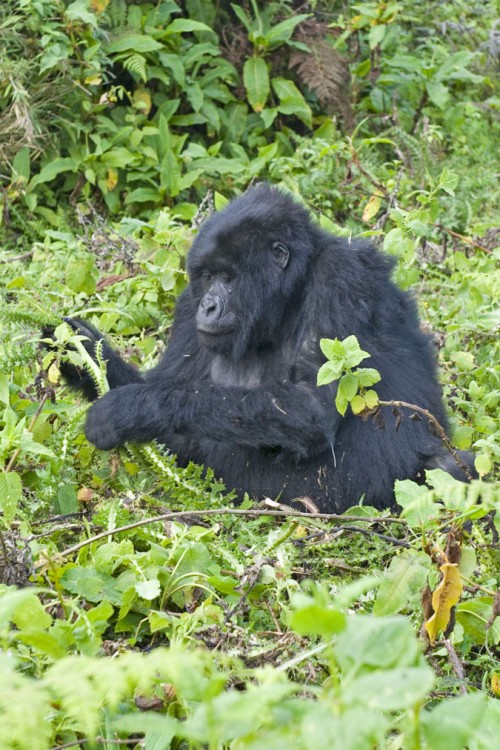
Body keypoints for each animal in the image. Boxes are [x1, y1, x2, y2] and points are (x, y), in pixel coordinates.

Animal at [60, 185, 470, 516]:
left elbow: (311, 408)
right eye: (207, 276)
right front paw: (77, 349)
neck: (288, 295)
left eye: (228, 278)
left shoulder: (342, 275)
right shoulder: (187, 303)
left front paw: (128, 409)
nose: (207, 306)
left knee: (447, 469)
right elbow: (164, 390)